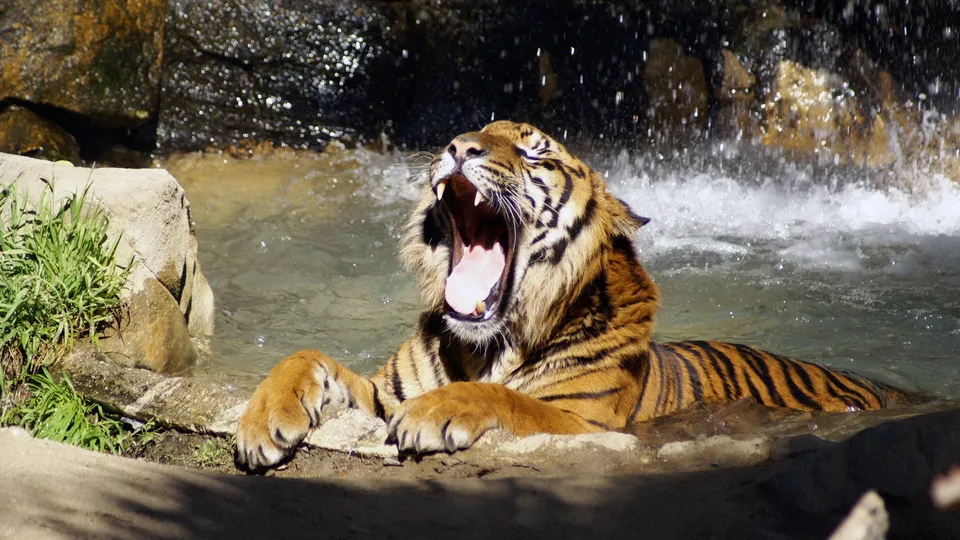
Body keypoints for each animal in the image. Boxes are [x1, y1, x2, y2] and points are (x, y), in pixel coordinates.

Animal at [235, 120, 904, 469]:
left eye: (533, 150)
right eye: (474, 130)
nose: (458, 146)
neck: (488, 344)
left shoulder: (585, 422)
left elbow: (507, 398)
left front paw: (434, 414)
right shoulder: (382, 392)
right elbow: (303, 357)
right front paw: (262, 423)